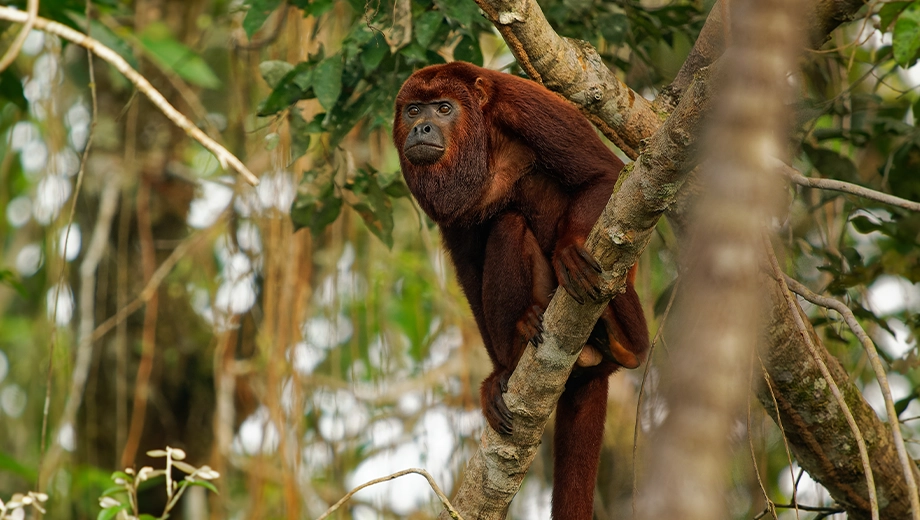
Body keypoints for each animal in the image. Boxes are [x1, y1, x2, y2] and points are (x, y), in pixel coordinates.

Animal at [392, 62, 652, 520]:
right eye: (413, 110)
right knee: (506, 225)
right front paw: (495, 375)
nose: (422, 127)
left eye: (444, 108)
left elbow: (604, 173)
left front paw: (569, 248)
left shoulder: (526, 108)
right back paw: (516, 351)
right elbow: (468, 267)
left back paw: (625, 344)